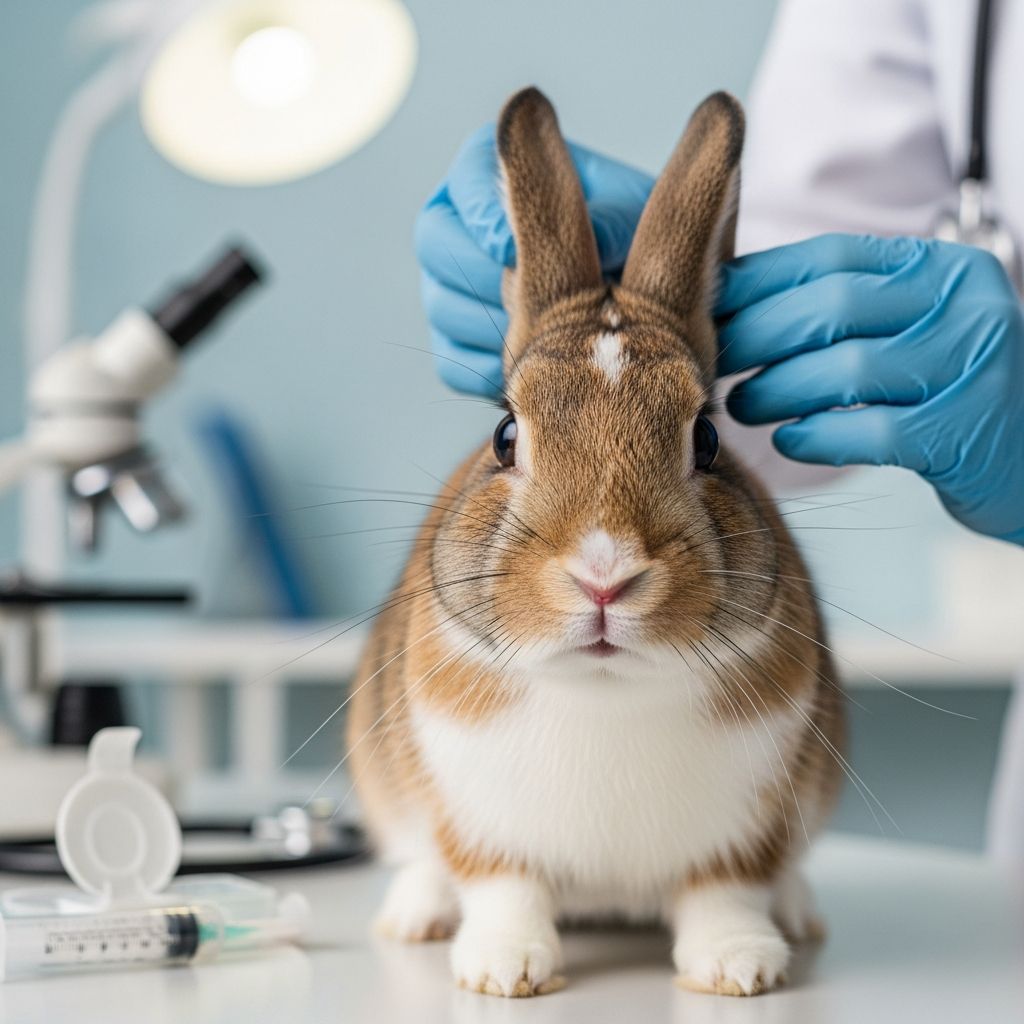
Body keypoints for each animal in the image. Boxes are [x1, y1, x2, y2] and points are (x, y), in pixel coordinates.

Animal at [346, 86, 845, 999]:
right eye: (505, 435)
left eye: (708, 439)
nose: (604, 575)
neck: (604, 691)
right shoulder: (483, 828)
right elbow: (501, 885)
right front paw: (504, 972)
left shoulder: (744, 834)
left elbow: (726, 890)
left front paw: (739, 969)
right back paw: (415, 917)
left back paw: (798, 915)